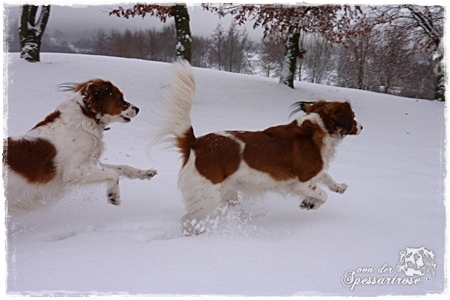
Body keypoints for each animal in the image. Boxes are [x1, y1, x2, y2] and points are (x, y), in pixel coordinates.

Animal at [3, 78, 156, 212]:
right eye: (119, 98)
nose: (137, 109)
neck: (86, 116)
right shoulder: (74, 170)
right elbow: (113, 173)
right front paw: (113, 195)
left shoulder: (89, 163)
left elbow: (122, 167)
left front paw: (145, 173)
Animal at [158, 61, 362, 234]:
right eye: (353, 116)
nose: (361, 127)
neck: (316, 127)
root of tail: (195, 143)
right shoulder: (301, 181)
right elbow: (323, 195)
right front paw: (310, 203)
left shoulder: (315, 171)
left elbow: (326, 176)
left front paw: (338, 187)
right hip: (207, 197)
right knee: (187, 220)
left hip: (227, 192)